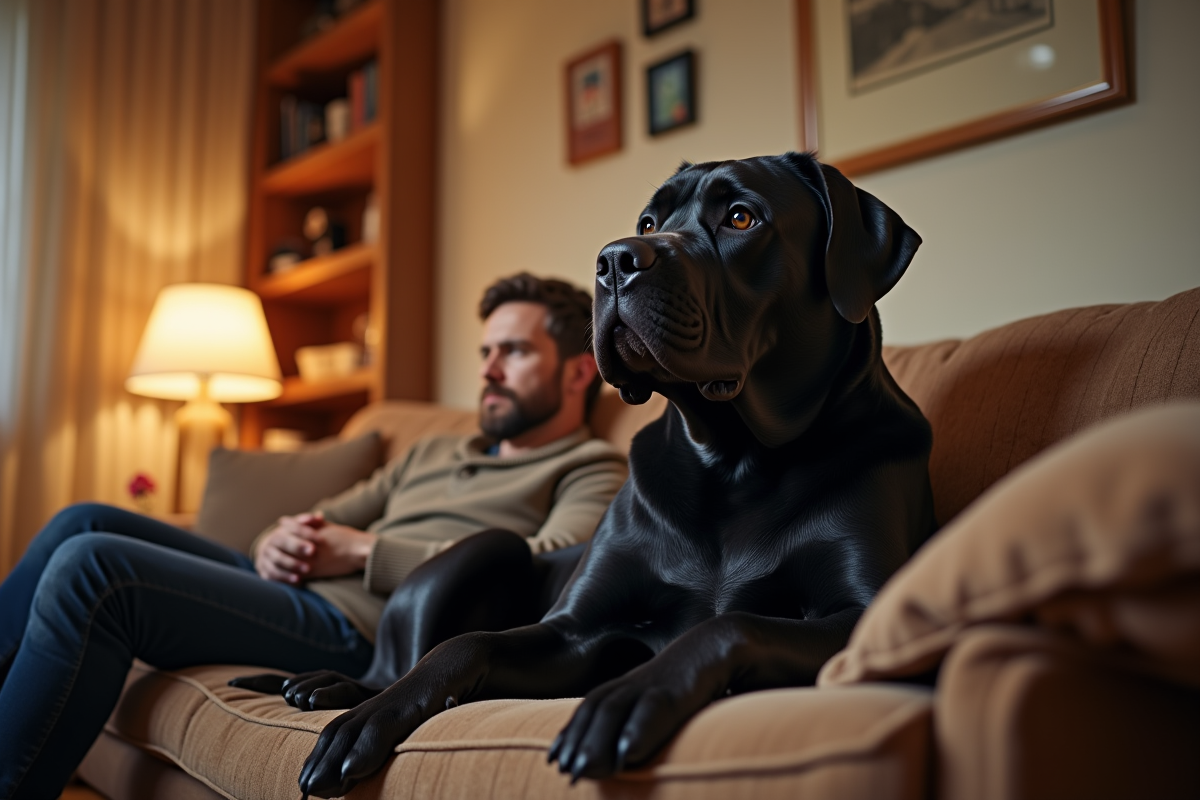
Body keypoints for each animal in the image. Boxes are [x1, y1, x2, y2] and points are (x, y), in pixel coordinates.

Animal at [241, 153, 936, 796]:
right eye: (650, 222)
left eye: (741, 217)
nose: (615, 259)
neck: (732, 459)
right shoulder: (574, 632)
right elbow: (465, 644)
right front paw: (370, 720)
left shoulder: (860, 618)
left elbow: (731, 623)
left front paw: (628, 696)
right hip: (482, 548)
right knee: (393, 662)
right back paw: (331, 687)